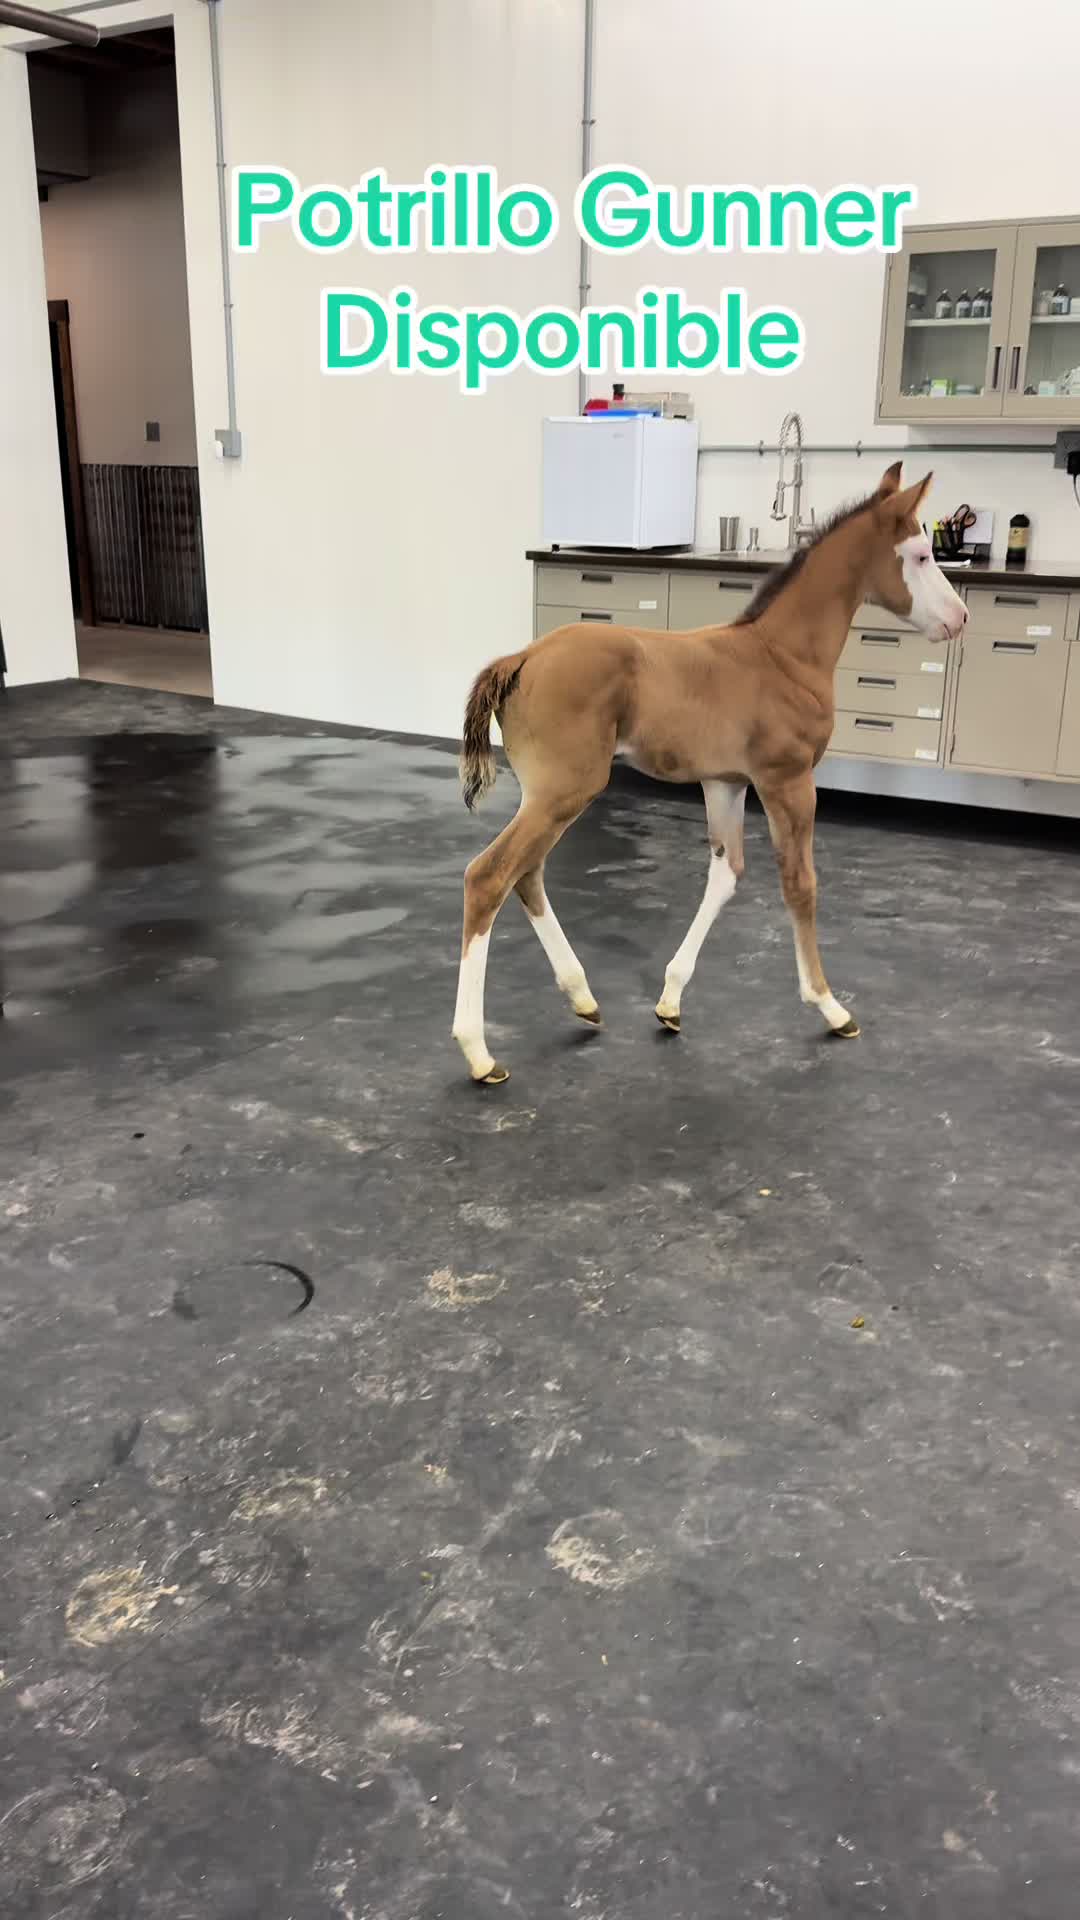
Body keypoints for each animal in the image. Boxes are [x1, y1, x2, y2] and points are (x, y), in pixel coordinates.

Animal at [452, 463, 966, 1084]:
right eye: (920, 554)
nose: (960, 619)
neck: (782, 655)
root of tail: (520, 660)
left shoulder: (726, 782)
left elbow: (726, 875)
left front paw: (670, 1001)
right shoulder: (788, 781)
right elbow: (801, 884)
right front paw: (830, 1005)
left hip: (549, 794)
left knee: (525, 874)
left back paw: (582, 997)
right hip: (566, 790)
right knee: (488, 876)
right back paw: (479, 1051)